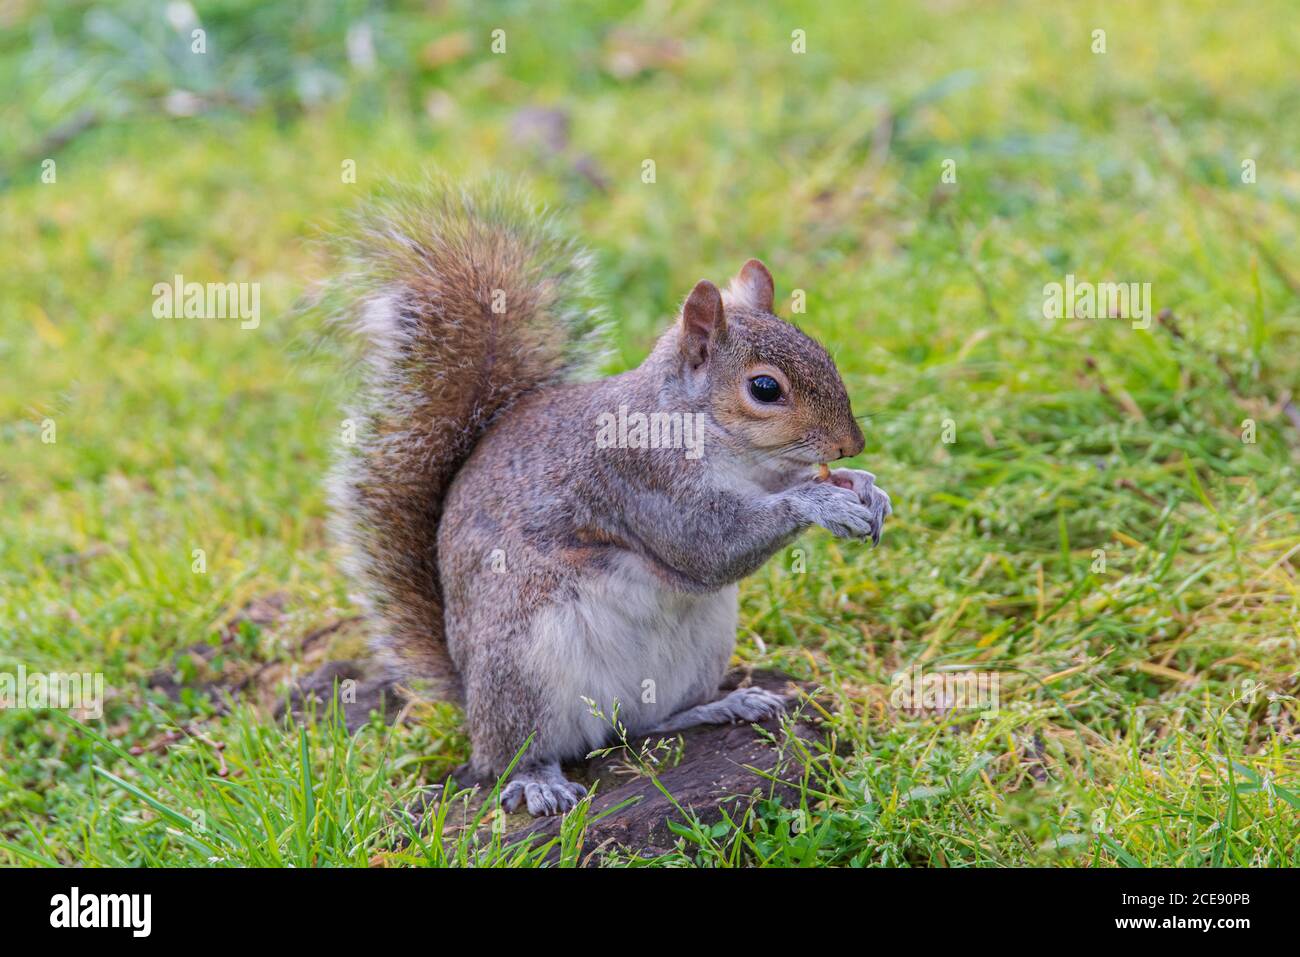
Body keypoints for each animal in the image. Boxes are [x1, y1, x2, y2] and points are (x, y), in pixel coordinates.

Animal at [330, 179, 889, 816]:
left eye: (823, 352)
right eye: (765, 388)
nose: (851, 444)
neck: (696, 427)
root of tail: (469, 697)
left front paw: (863, 486)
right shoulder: (635, 479)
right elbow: (708, 547)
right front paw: (822, 503)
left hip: (698, 649)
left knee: (647, 723)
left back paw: (723, 704)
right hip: (523, 668)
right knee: (511, 756)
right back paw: (538, 780)